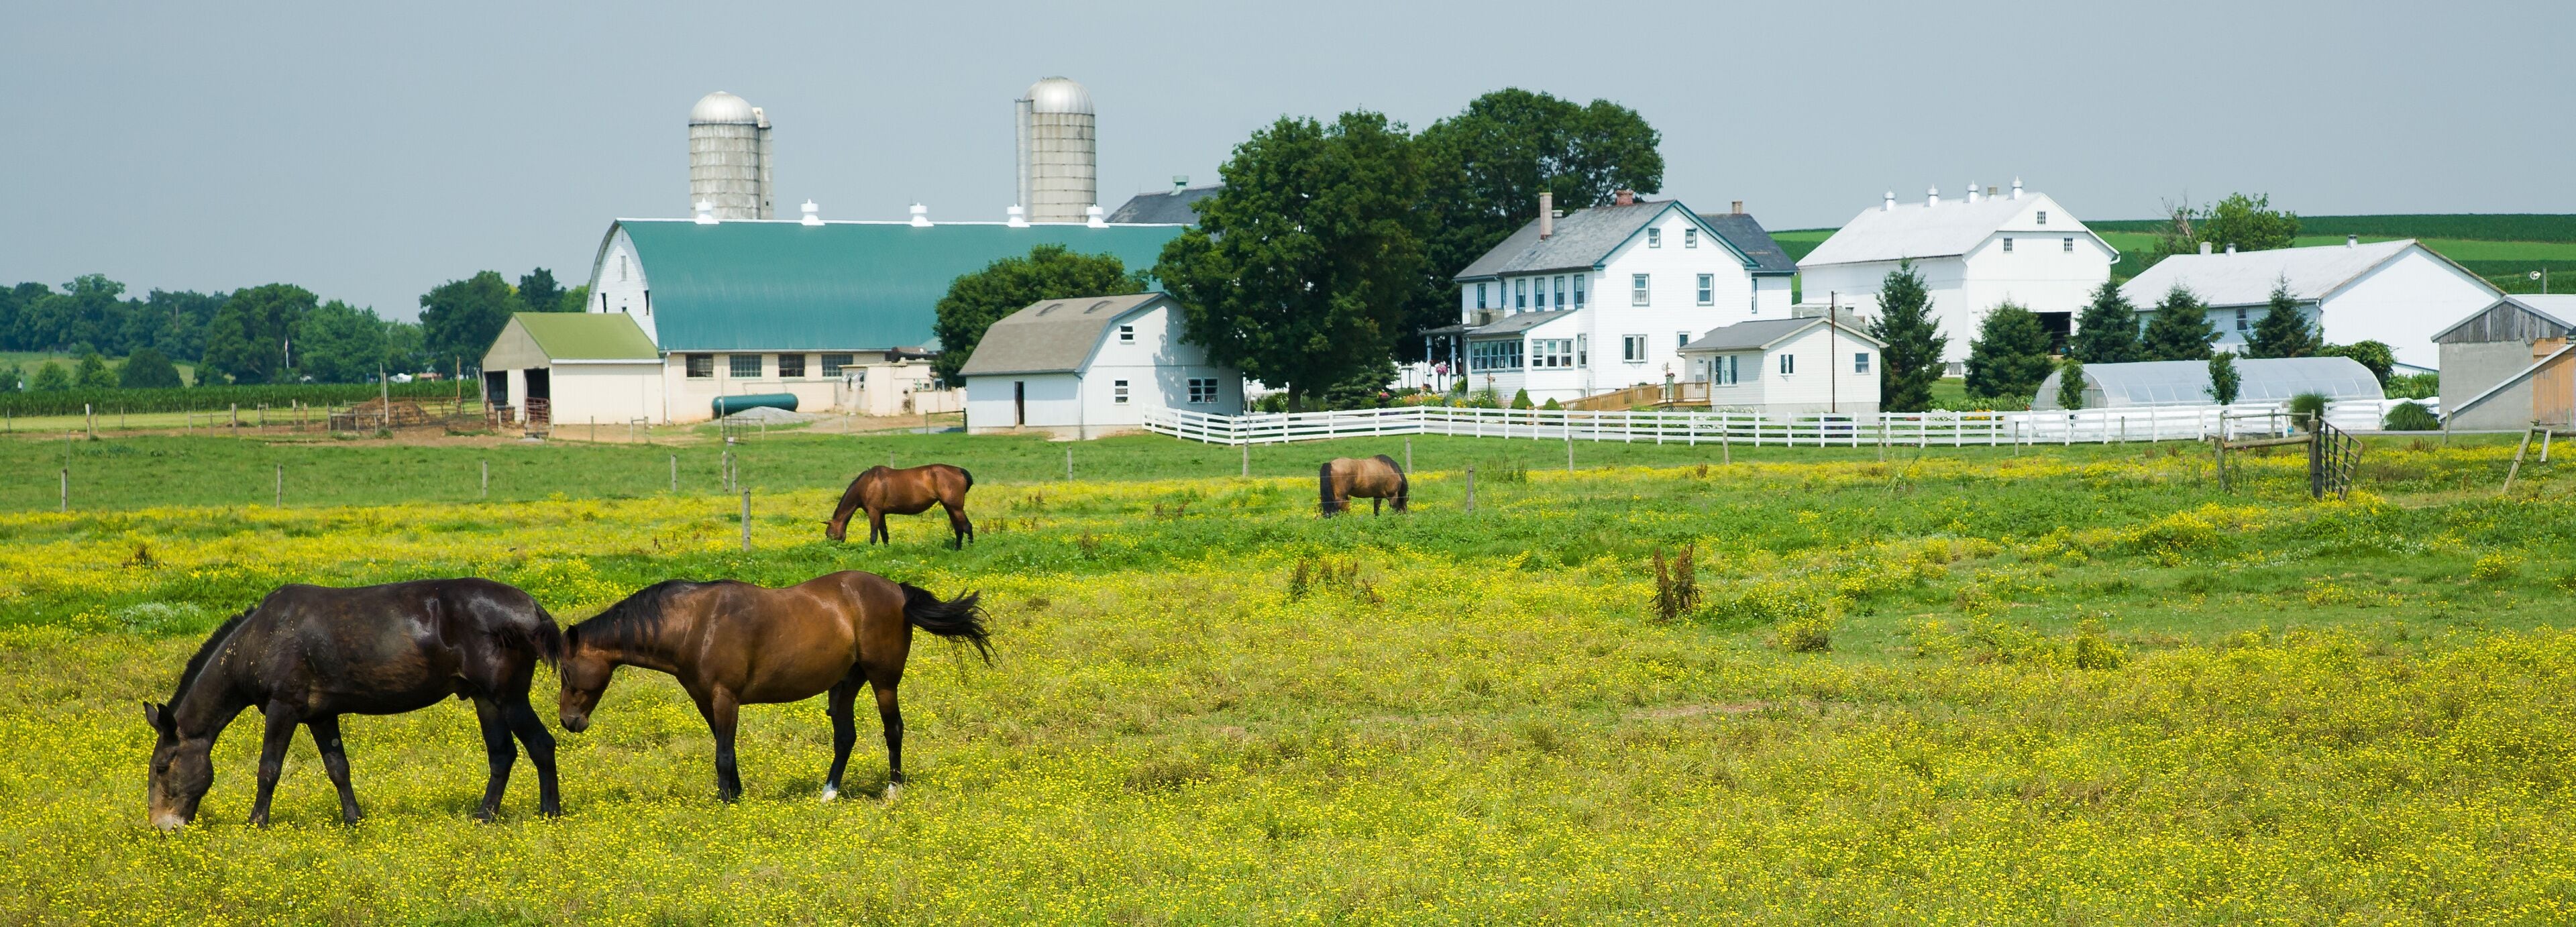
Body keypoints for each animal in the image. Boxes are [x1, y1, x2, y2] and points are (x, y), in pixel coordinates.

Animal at [141, 579, 563, 830]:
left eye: (162, 767)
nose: (161, 827)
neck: (260, 639)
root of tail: (533, 609)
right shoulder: (321, 715)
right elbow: (338, 768)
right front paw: (353, 819)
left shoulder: (283, 706)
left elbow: (269, 769)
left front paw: (256, 823)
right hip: (485, 699)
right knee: (502, 754)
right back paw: (484, 815)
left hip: (508, 697)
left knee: (542, 745)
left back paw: (550, 813)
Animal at [557, 572, 992, 802]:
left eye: (566, 671)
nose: (568, 721)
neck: (696, 624)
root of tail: (897, 591)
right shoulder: (706, 702)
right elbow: (726, 750)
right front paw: (735, 795)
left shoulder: (726, 698)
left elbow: (723, 755)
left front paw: (725, 802)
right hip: (845, 684)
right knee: (845, 737)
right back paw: (828, 793)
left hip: (883, 680)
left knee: (893, 730)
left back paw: (892, 791)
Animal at [825, 464, 975, 549]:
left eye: (828, 534)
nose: (830, 547)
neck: (867, 483)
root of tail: (960, 471)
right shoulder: (881, 513)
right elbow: (884, 534)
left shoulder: (874, 511)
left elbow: (873, 536)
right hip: (949, 507)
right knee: (959, 528)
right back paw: (957, 548)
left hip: (955, 507)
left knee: (967, 526)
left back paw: (970, 548)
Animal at [1318, 455, 1409, 517]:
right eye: (1405, 503)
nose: (1405, 516)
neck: (1392, 469)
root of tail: (1330, 464)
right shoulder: (1393, 496)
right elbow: (1395, 509)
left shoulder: (1378, 496)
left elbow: (1376, 512)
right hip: (1340, 499)